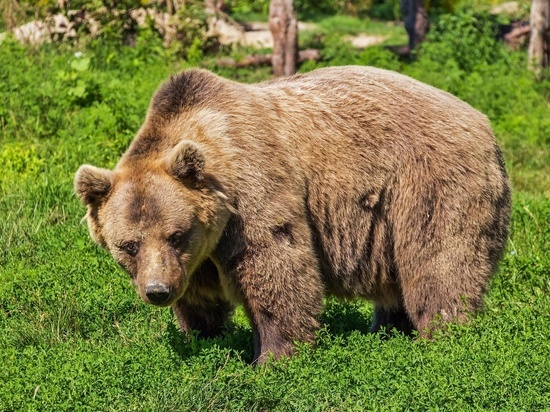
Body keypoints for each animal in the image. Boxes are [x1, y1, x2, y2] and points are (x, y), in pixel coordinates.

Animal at [73, 67, 512, 364]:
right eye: (128, 245)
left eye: (176, 234)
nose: (158, 291)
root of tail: (484, 123)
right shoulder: (198, 253)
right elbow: (200, 296)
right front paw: (204, 336)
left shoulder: (253, 191)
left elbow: (276, 267)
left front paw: (272, 357)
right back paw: (387, 329)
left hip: (429, 184)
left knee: (439, 263)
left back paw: (443, 336)